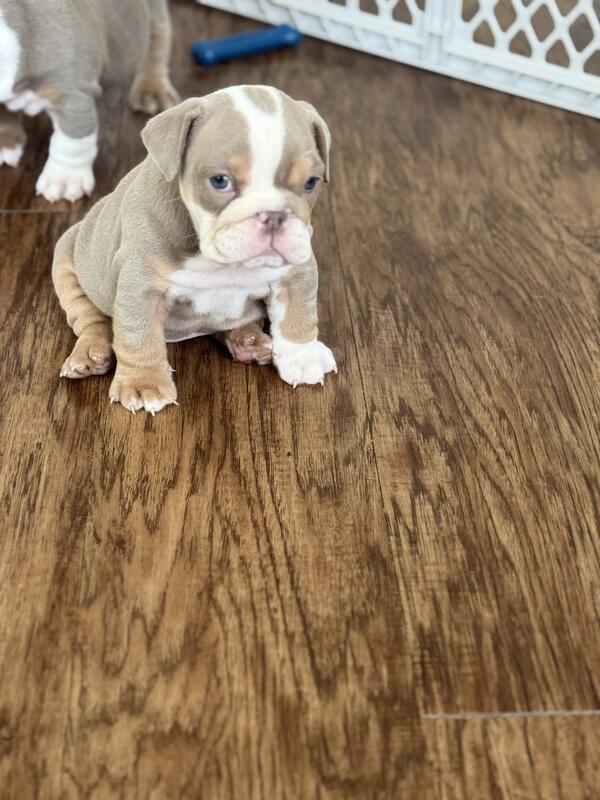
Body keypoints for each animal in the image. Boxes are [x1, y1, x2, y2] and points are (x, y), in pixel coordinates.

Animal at [0, 0, 178, 202]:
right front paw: (5, 141)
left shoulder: (73, 96)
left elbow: (72, 142)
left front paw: (64, 178)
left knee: (158, 35)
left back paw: (152, 88)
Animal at [52, 86, 337, 413]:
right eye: (220, 181)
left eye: (311, 182)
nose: (275, 215)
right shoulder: (142, 285)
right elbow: (139, 335)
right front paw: (144, 384)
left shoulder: (296, 270)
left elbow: (298, 314)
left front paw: (303, 357)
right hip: (67, 258)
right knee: (92, 319)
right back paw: (89, 355)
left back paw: (249, 340)